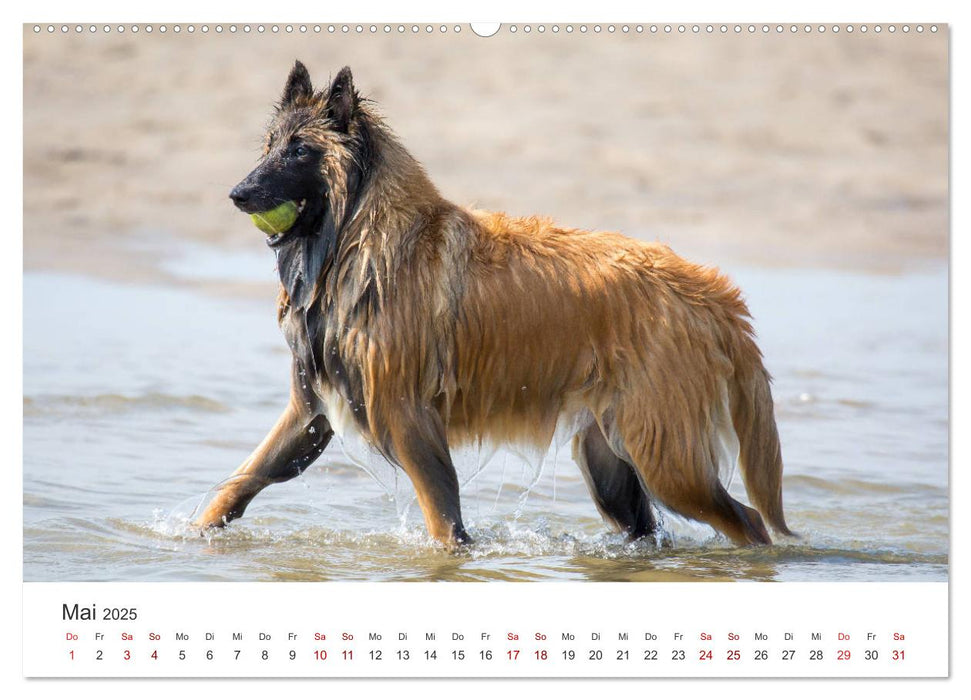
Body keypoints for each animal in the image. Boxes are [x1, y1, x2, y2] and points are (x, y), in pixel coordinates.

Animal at [194, 61, 792, 548]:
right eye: (269, 143)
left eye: (299, 149)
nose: (236, 194)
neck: (359, 237)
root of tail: (709, 292)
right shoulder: (313, 411)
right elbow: (244, 479)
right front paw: (193, 533)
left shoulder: (407, 420)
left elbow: (444, 520)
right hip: (613, 464)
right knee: (651, 527)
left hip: (666, 459)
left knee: (749, 521)